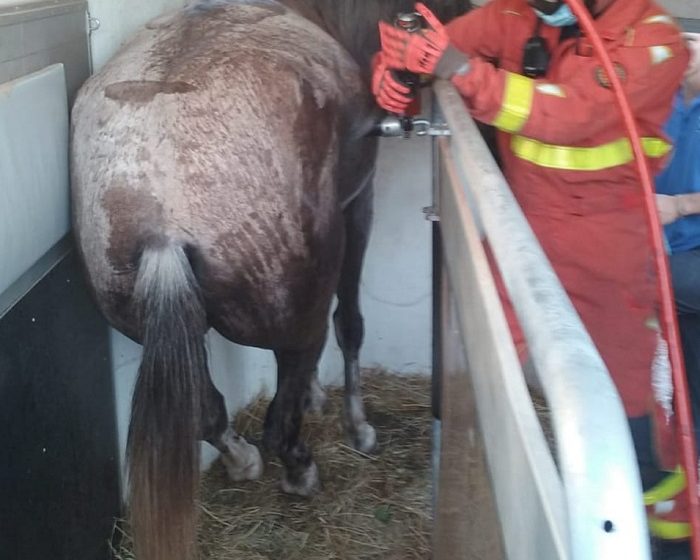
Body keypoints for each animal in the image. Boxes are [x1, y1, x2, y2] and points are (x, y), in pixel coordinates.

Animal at [70, 1, 471, 559]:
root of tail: (160, 215)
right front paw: (358, 427)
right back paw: (299, 471)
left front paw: (316, 400)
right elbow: (350, 325)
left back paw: (244, 461)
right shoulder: (357, 204)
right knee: (281, 421)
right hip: (297, 320)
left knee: (211, 414)